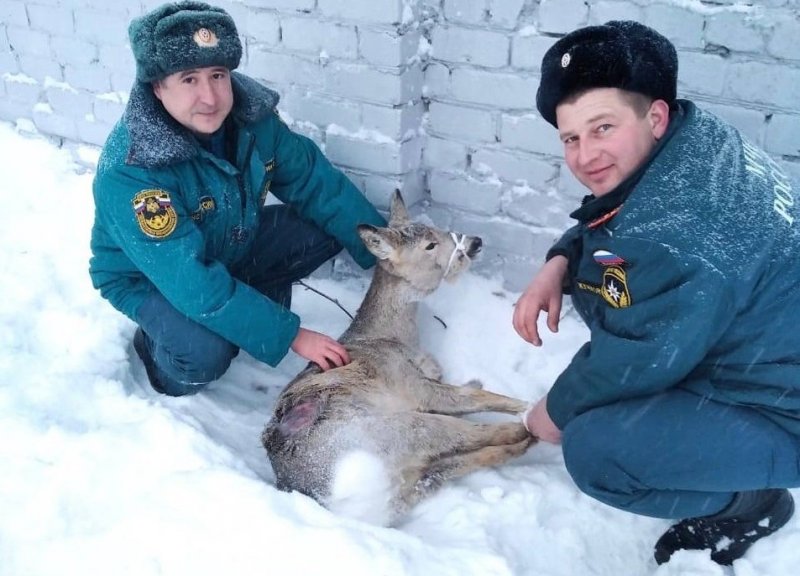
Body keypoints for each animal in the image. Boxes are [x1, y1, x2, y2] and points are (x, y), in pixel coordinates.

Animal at [264, 191, 536, 524]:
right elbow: (474, 397)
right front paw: (523, 404)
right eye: (429, 245)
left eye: (440, 231)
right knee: (481, 433)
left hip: (414, 479)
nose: (475, 241)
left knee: (459, 462)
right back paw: (533, 426)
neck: (395, 339)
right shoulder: (410, 383)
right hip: (403, 429)